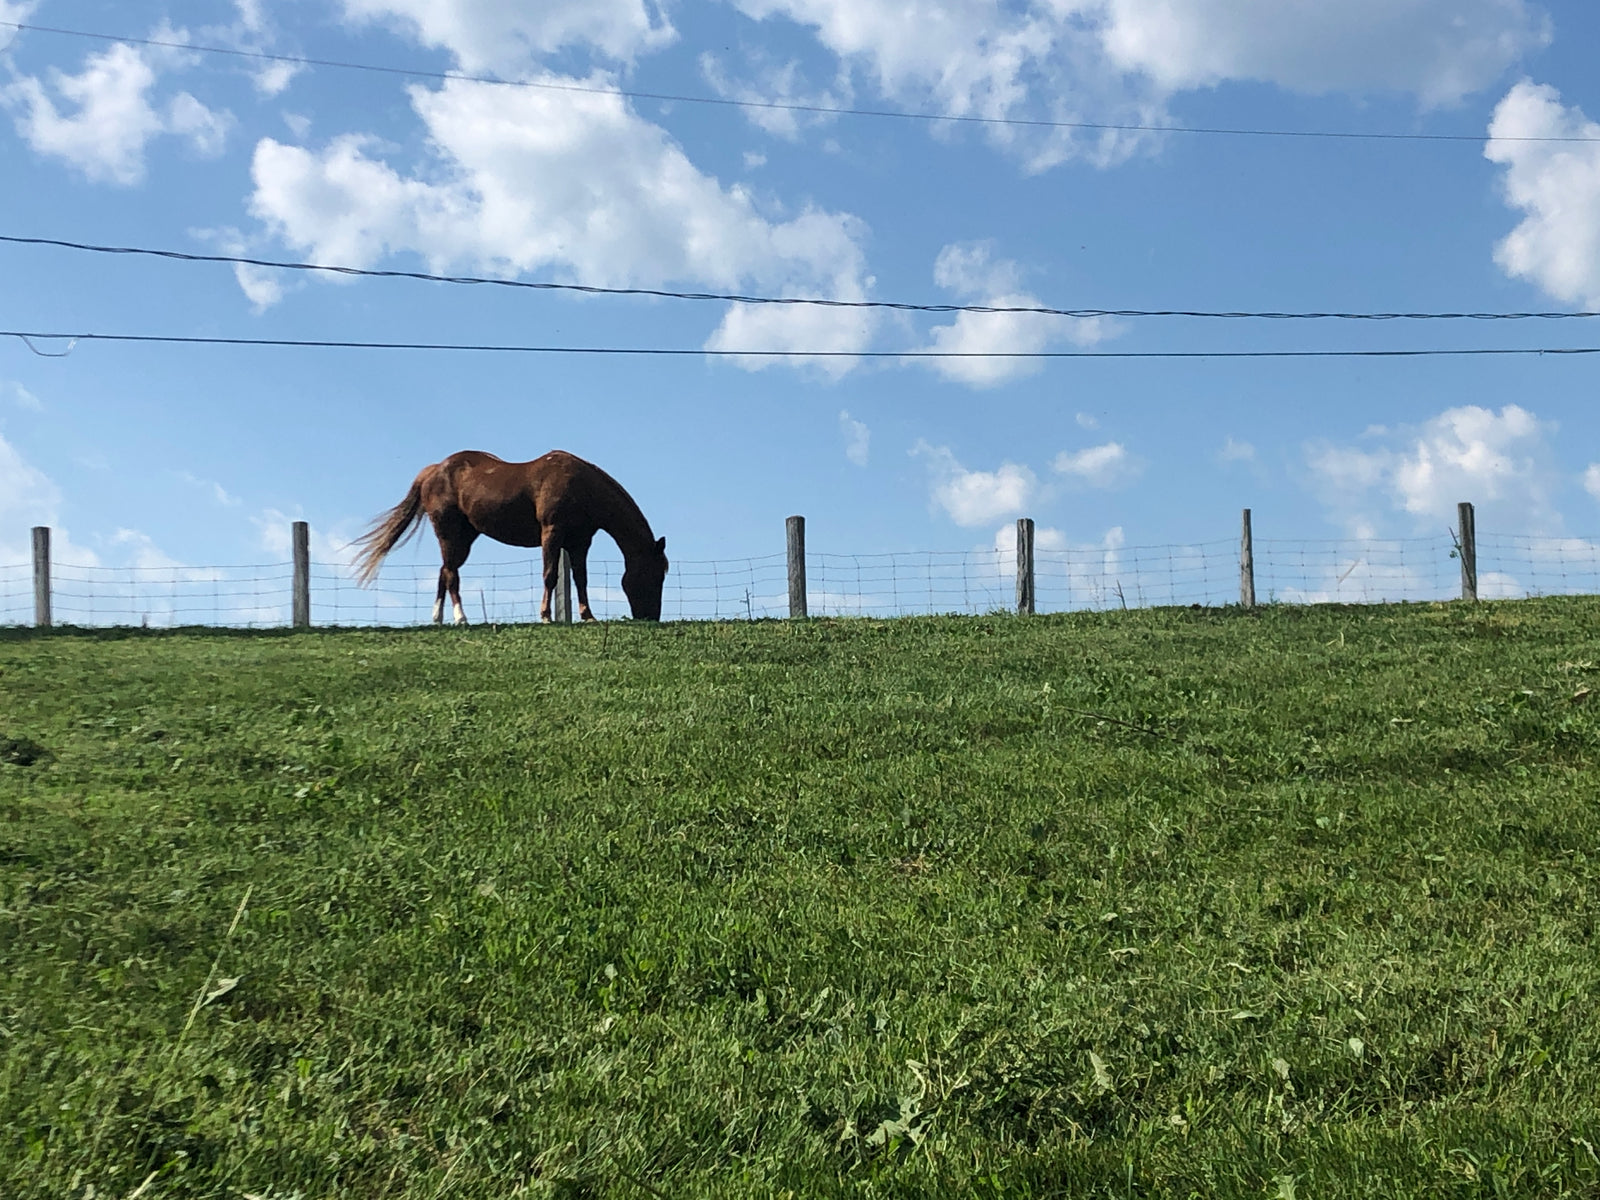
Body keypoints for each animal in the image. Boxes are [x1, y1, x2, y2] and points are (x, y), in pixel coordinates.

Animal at [352, 450, 668, 623]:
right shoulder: (552, 533)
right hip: (449, 533)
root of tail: (433, 471)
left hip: (464, 537)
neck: (581, 486)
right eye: (654, 575)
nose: (651, 616)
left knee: (444, 571)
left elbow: (581, 579)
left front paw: (587, 616)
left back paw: (438, 618)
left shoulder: (580, 542)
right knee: (451, 574)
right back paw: (461, 618)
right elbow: (550, 575)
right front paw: (545, 616)